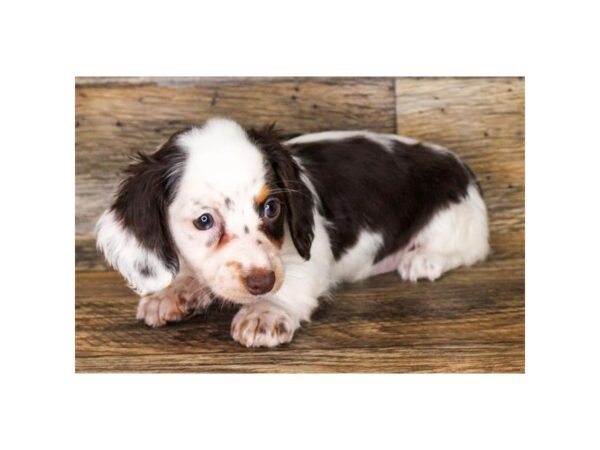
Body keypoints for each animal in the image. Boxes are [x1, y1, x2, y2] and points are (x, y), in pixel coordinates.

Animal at [96, 118, 490, 346]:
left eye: (272, 208)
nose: (262, 283)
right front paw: (174, 292)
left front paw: (266, 311)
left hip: (454, 222)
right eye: (204, 221)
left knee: (469, 250)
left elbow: (294, 281)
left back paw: (424, 259)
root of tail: (462, 168)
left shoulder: (311, 254)